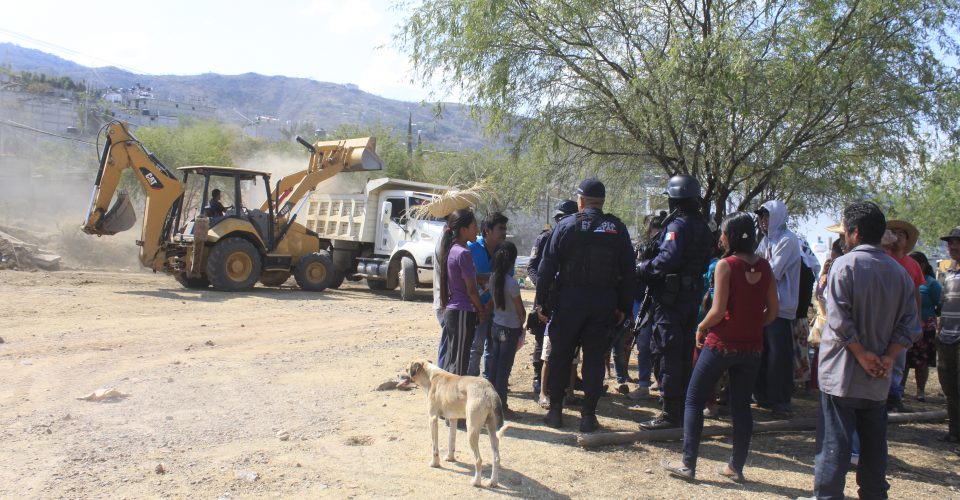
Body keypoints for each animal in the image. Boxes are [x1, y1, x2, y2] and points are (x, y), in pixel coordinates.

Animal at [404, 360, 510, 488]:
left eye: (406, 369)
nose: (398, 375)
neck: (431, 376)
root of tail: (489, 390)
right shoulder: (453, 419)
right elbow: (451, 441)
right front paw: (450, 458)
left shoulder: (432, 419)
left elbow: (435, 447)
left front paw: (435, 463)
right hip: (492, 431)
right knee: (496, 458)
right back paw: (493, 482)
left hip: (472, 432)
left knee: (478, 460)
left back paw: (476, 482)